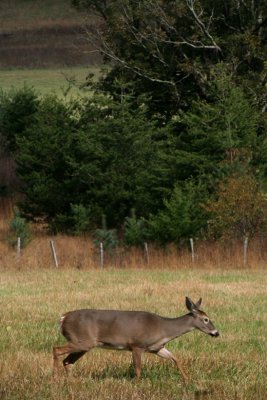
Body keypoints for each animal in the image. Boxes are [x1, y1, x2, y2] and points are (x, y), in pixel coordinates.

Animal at [52, 298, 220, 380]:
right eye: (206, 319)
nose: (216, 333)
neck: (164, 328)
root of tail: (63, 318)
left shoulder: (157, 348)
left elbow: (175, 358)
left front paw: (188, 379)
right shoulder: (137, 345)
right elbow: (138, 368)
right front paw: (138, 384)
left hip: (84, 344)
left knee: (67, 361)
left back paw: (70, 382)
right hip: (83, 341)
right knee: (56, 349)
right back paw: (54, 378)